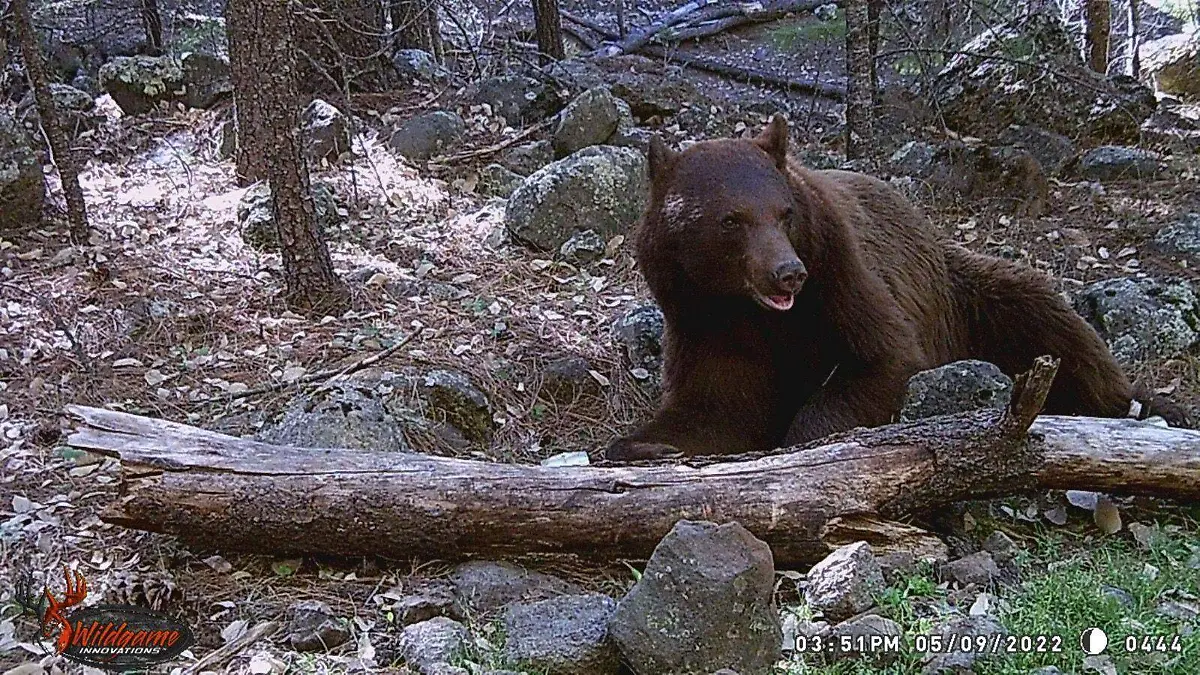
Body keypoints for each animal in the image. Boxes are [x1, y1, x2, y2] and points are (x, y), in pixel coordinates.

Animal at [605, 114, 1189, 461]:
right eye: (732, 220)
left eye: (785, 212)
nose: (787, 272)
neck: (752, 312)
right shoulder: (706, 322)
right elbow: (713, 406)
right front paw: (640, 444)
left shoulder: (838, 277)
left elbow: (882, 358)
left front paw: (804, 441)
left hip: (966, 295)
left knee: (1051, 321)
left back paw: (1146, 404)